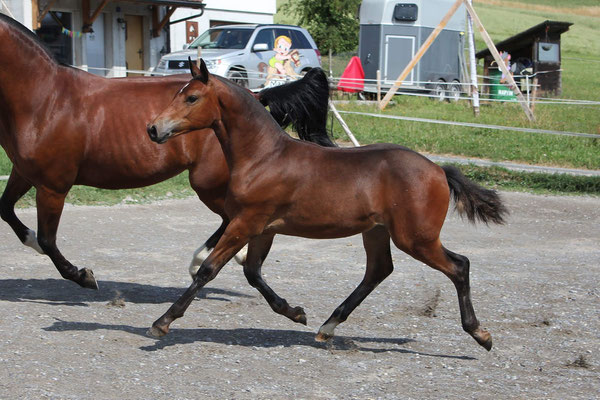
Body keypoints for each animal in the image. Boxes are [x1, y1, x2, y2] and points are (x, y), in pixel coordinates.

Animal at [0, 14, 332, 290]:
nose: (153, 129)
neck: (46, 98)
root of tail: (253, 94)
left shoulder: (53, 186)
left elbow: (48, 240)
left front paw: (83, 276)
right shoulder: (24, 173)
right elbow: (8, 211)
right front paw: (34, 242)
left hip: (208, 183)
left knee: (229, 218)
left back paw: (201, 262)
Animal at [144, 60, 506, 350]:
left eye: (191, 97)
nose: (153, 128)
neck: (263, 156)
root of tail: (439, 171)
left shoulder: (245, 222)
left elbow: (208, 269)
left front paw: (162, 322)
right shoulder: (262, 228)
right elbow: (252, 272)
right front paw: (295, 313)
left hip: (416, 238)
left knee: (459, 266)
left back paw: (481, 334)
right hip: (378, 231)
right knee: (378, 271)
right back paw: (327, 327)